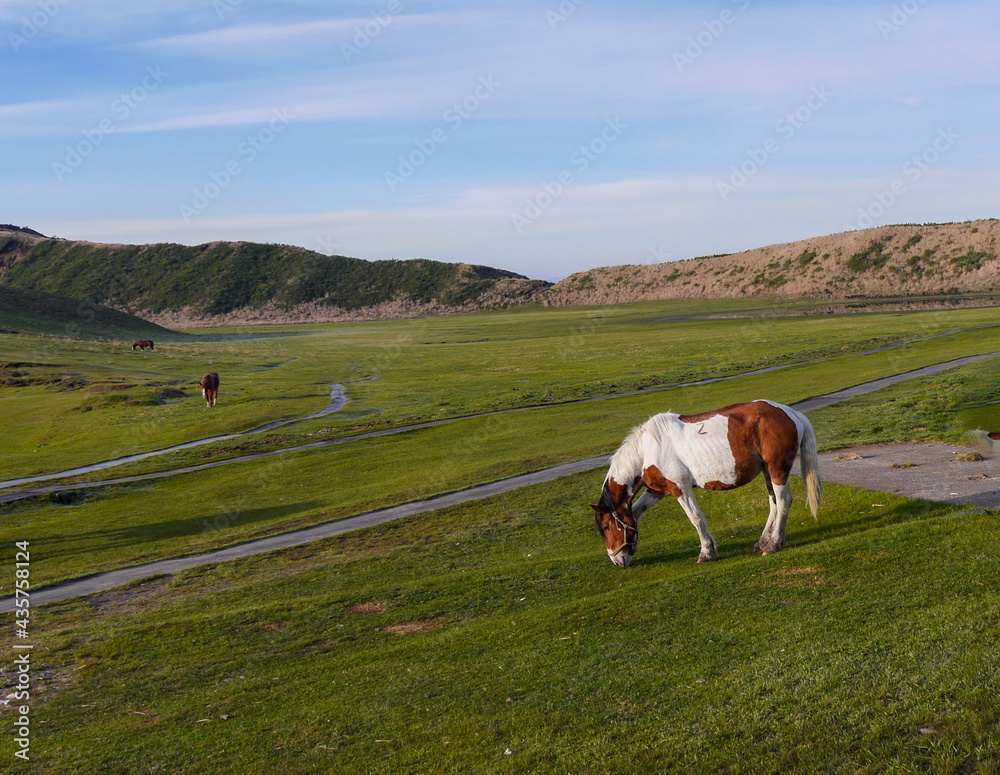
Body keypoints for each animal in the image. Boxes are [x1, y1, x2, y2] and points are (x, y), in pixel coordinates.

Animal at [592, 404, 820, 568]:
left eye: (606, 527)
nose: (617, 561)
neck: (647, 450)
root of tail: (790, 412)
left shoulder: (680, 488)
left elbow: (695, 518)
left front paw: (706, 552)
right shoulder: (657, 491)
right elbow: (636, 511)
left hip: (777, 470)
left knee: (783, 502)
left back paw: (773, 544)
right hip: (767, 471)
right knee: (774, 504)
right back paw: (765, 541)